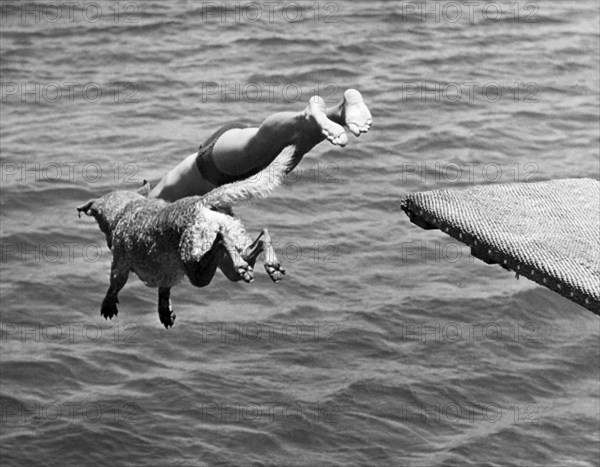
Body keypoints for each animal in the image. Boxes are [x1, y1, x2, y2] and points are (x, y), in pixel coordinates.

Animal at [78, 146, 294, 330]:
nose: (108, 242)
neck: (127, 209)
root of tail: (202, 202)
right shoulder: (166, 275)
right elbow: (164, 293)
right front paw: (165, 313)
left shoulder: (120, 266)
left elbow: (114, 285)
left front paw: (108, 305)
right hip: (230, 259)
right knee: (260, 237)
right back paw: (270, 265)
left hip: (197, 270)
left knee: (222, 240)